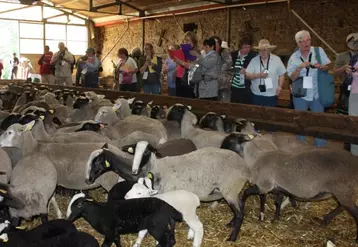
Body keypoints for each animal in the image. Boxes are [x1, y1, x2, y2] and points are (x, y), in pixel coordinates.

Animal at [85, 143, 253, 241]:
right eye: (134, 152)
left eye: (98, 161)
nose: (88, 179)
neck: (152, 169)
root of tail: (245, 166)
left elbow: (169, 221)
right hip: (233, 190)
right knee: (241, 206)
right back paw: (230, 224)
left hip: (230, 188)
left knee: (240, 213)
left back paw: (232, 238)